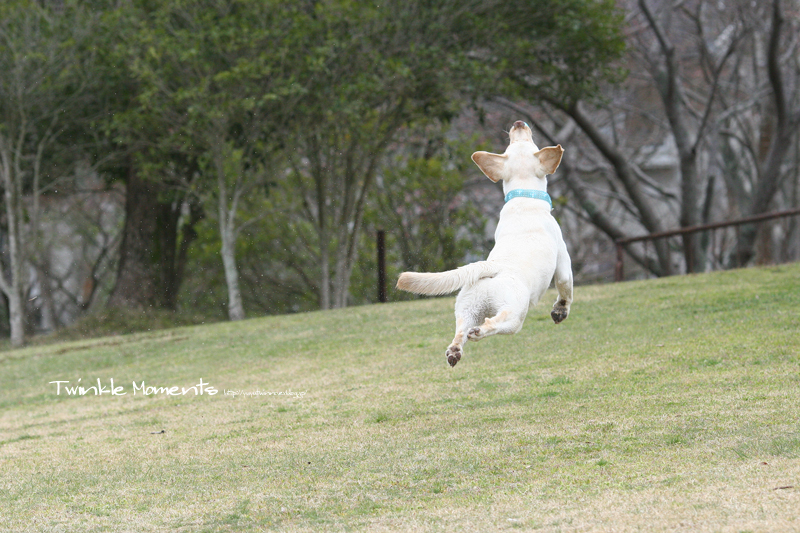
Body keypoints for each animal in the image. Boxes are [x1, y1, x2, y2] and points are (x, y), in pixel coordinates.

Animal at [396, 120, 572, 366]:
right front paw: (560, 311)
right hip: (515, 313)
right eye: (532, 144)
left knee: (460, 331)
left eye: (510, 145)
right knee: (495, 323)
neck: (523, 198)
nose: (518, 123)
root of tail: (491, 267)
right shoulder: (563, 255)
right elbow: (565, 288)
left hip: (467, 307)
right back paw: (479, 332)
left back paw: (455, 351)